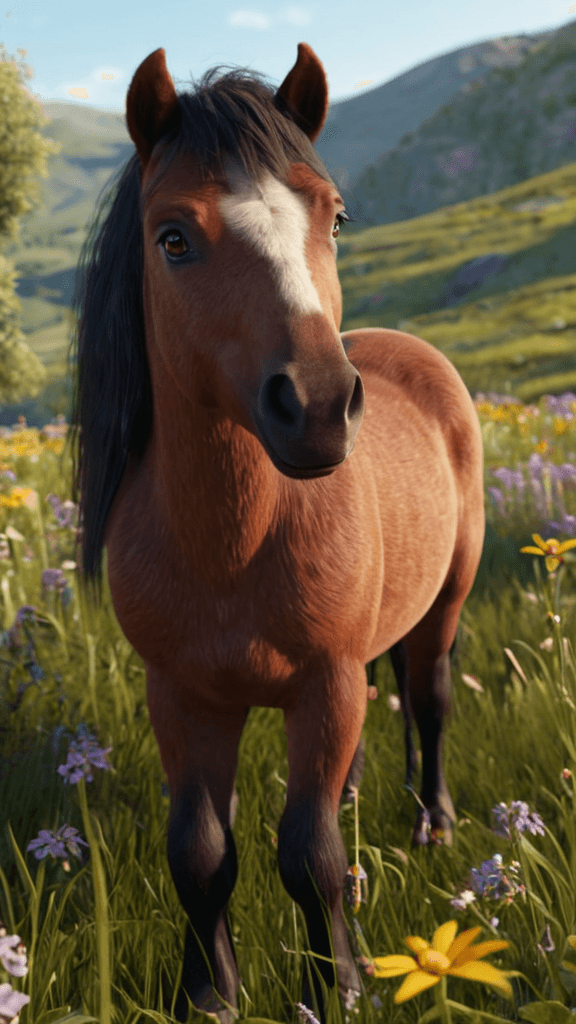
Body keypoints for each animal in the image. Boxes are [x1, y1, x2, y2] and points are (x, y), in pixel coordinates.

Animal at [70, 42, 485, 1023]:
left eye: (335, 216)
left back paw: (433, 820)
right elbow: (200, 852)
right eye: (173, 238)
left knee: (430, 701)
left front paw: (339, 986)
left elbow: (310, 856)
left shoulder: (320, 685)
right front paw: (209, 993)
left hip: (445, 602)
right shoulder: (182, 696)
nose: (323, 407)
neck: (232, 544)